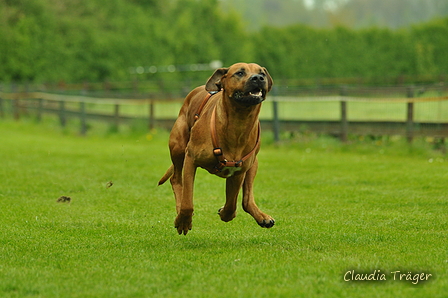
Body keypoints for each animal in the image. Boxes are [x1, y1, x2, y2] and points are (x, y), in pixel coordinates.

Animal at [159, 63, 274, 235]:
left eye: (262, 73)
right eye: (240, 73)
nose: (258, 78)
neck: (239, 122)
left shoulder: (238, 171)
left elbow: (231, 205)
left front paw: (224, 212)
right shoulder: (191, 159)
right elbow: (188, 201)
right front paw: (184, 220)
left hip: (254, 163)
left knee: (247, 199)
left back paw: (261, 216)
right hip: (178, 147)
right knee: (176, 179)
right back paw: (179, 212)